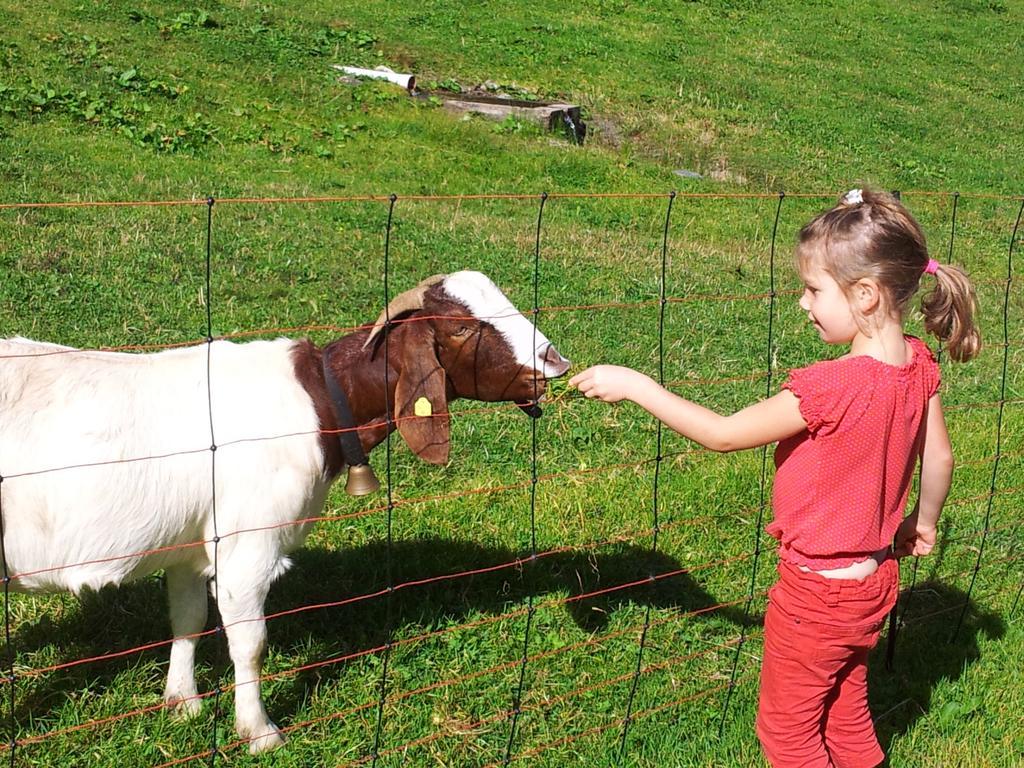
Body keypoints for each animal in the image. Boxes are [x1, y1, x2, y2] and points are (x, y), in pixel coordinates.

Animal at [0, 268, 569, 753]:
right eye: (460, 327)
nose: (555, 362)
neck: (321, 401)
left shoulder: (194, 541)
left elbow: (187, 618)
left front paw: (183, 703)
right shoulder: (248, 546)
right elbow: (250, 642)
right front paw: (260, 732)